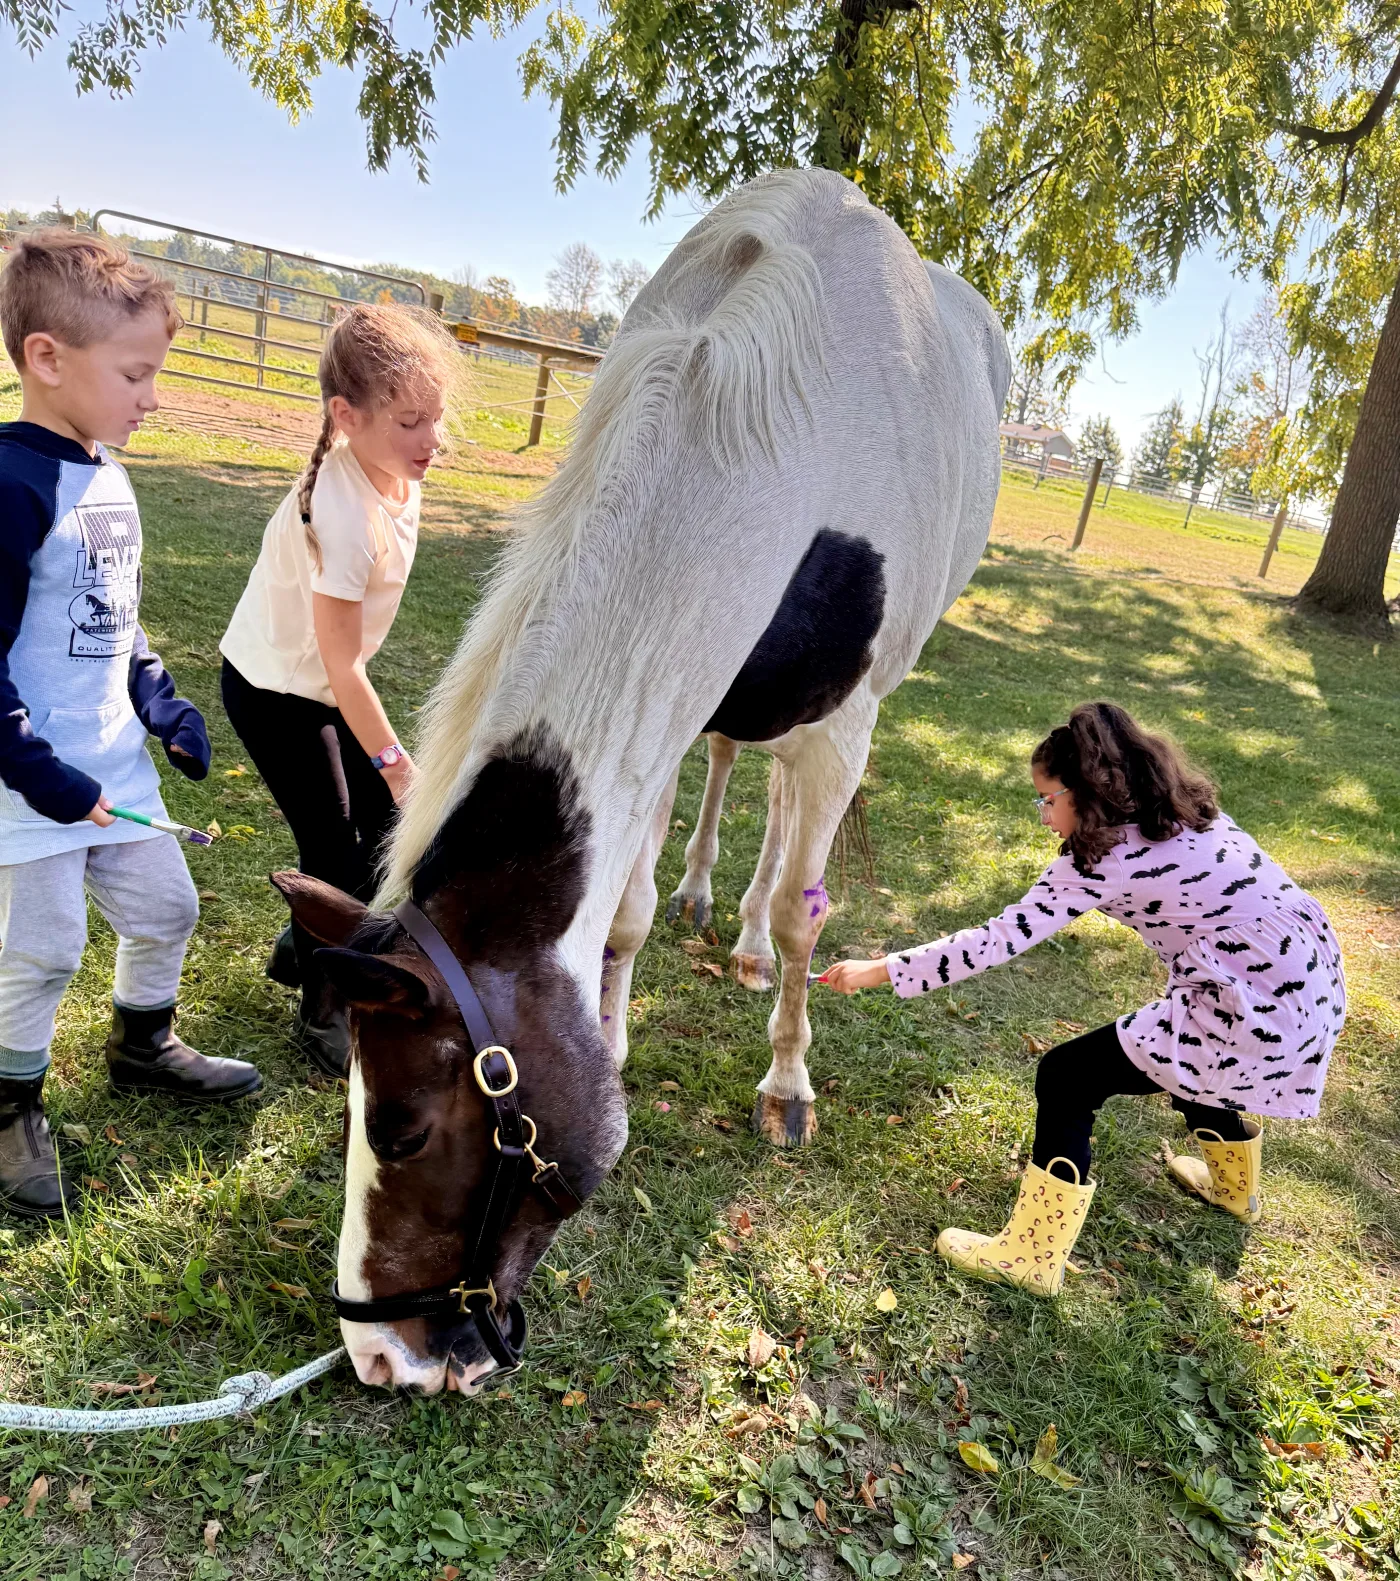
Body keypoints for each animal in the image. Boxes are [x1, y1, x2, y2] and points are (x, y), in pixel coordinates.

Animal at [274, 167, 1010, 1393]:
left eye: (404, 1130)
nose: (379, 1354)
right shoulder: (666, 706)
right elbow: (624, 911)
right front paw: (618, 1037)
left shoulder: (839, 722)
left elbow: (808, 919)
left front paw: (787, 1084)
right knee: (731, 777)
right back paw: (725, 909)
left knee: (787, 839)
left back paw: (755, 940)